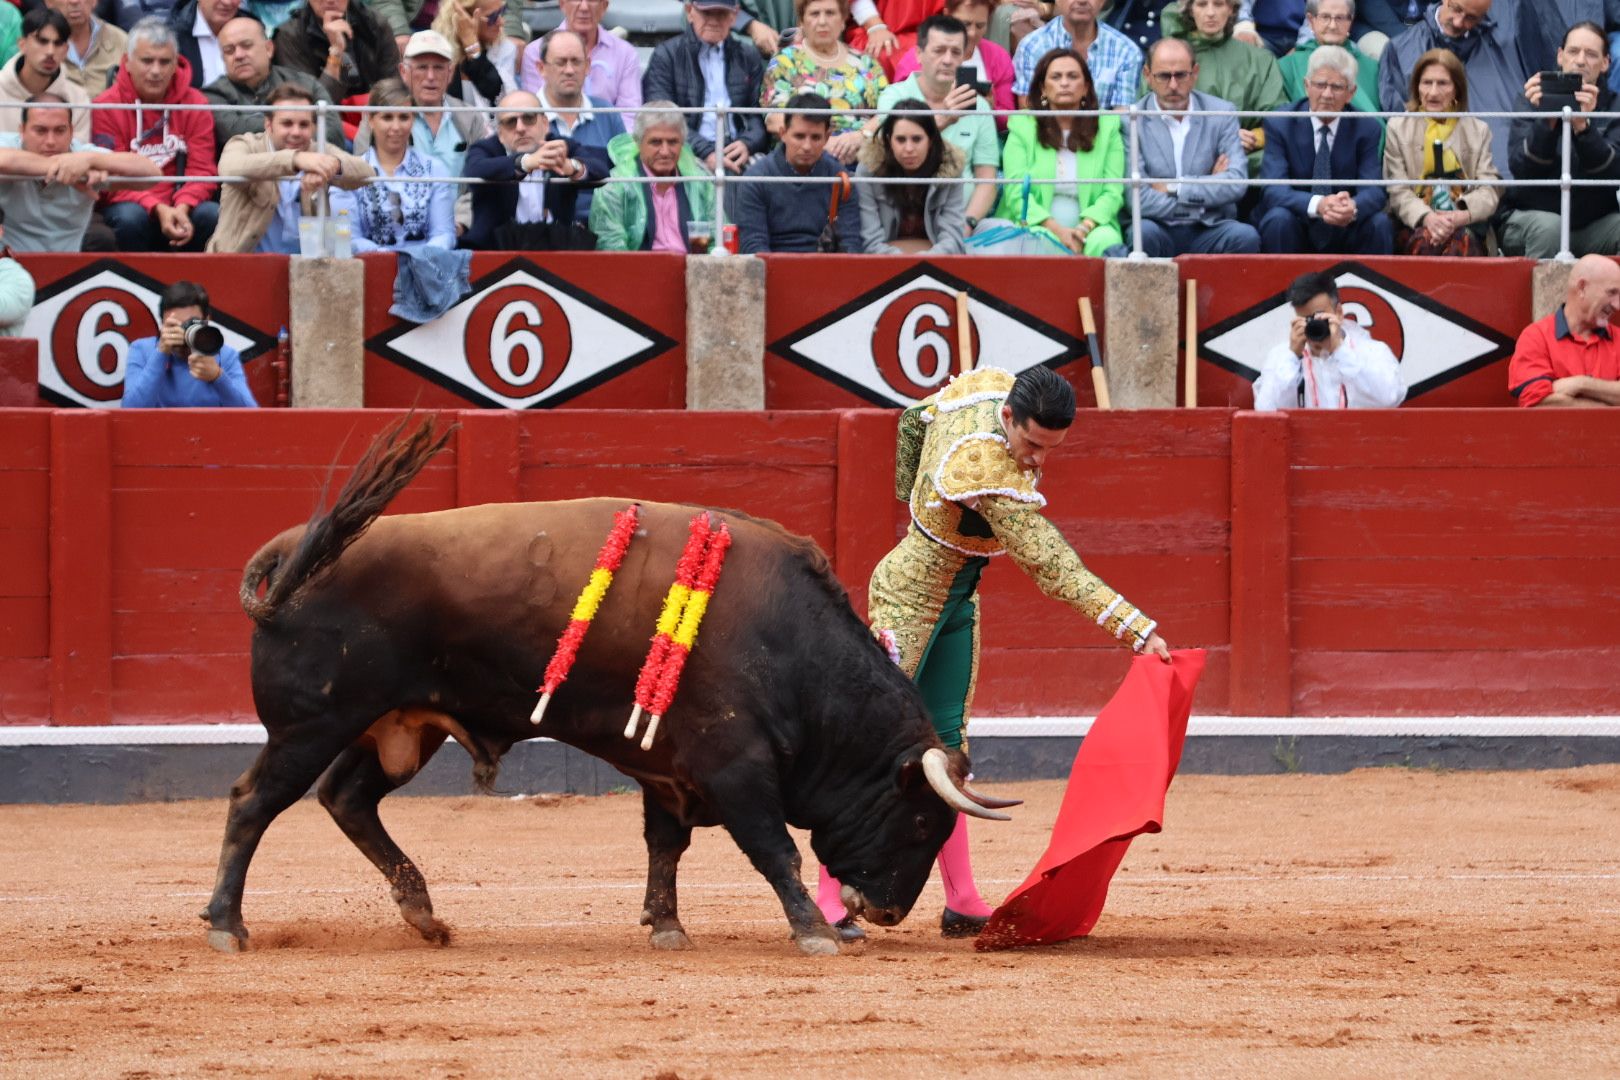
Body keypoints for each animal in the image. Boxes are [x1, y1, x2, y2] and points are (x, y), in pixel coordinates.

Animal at [202, 417, 1010, 958]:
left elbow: (665, 845)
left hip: (401, 725)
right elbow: (773, 848)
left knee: (347, 799)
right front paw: (814, 932)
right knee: (253, 803)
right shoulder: (734, 764)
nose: (888, 912)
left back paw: (424, 915)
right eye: (919, 823)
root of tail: (294, 553)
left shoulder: (668, 766)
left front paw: (667, 925)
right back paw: (227, 925)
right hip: (311, 725)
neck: (788, 643)